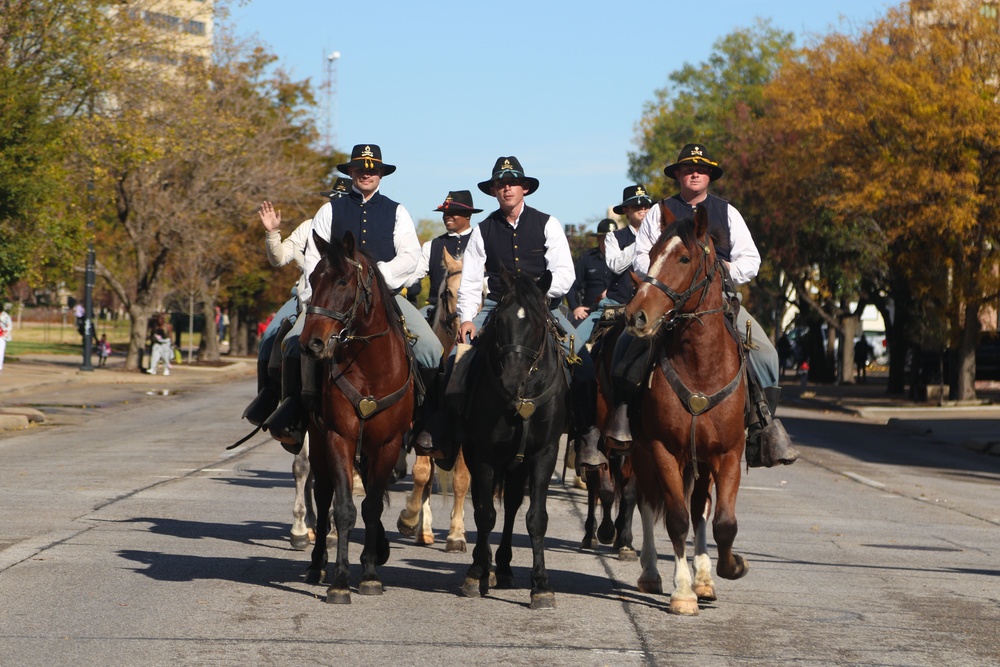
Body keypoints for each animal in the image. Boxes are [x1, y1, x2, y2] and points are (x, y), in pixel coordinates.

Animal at [298, 231, 412, 604]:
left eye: (343, 281)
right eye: (312, 278)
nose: (311, 344)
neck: (371, 367)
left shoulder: (388, 445)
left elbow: (372, 507)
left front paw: (371, 573)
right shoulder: (339, 438)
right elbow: (345, 508)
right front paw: (340, 580)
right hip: (318, 442)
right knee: (322, 496)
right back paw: (317, 565)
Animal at [460, 272, 572, 612]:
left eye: (537, 322)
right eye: (500, 320)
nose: (511, 380)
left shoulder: (544, 455)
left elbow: (536, 518)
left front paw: (542, 586)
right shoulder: (483, 455)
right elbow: (485, 514)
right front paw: (476, 574)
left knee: (511, 506)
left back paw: (505, 567)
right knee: (487, 506)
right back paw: (487, 565)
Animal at [624, 204, 752, 616]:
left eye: (683, 258)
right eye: (650, 254)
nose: (637, 315)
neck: (701, 368)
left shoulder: (728, 453)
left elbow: (723, 521)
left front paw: (727, 568)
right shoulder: (664, 450)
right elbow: (676, 519)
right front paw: (682, 592)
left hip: (701, 462)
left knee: (700, 510)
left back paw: (704, 578)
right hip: (644, 454)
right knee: (648, 504)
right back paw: (652, 573)